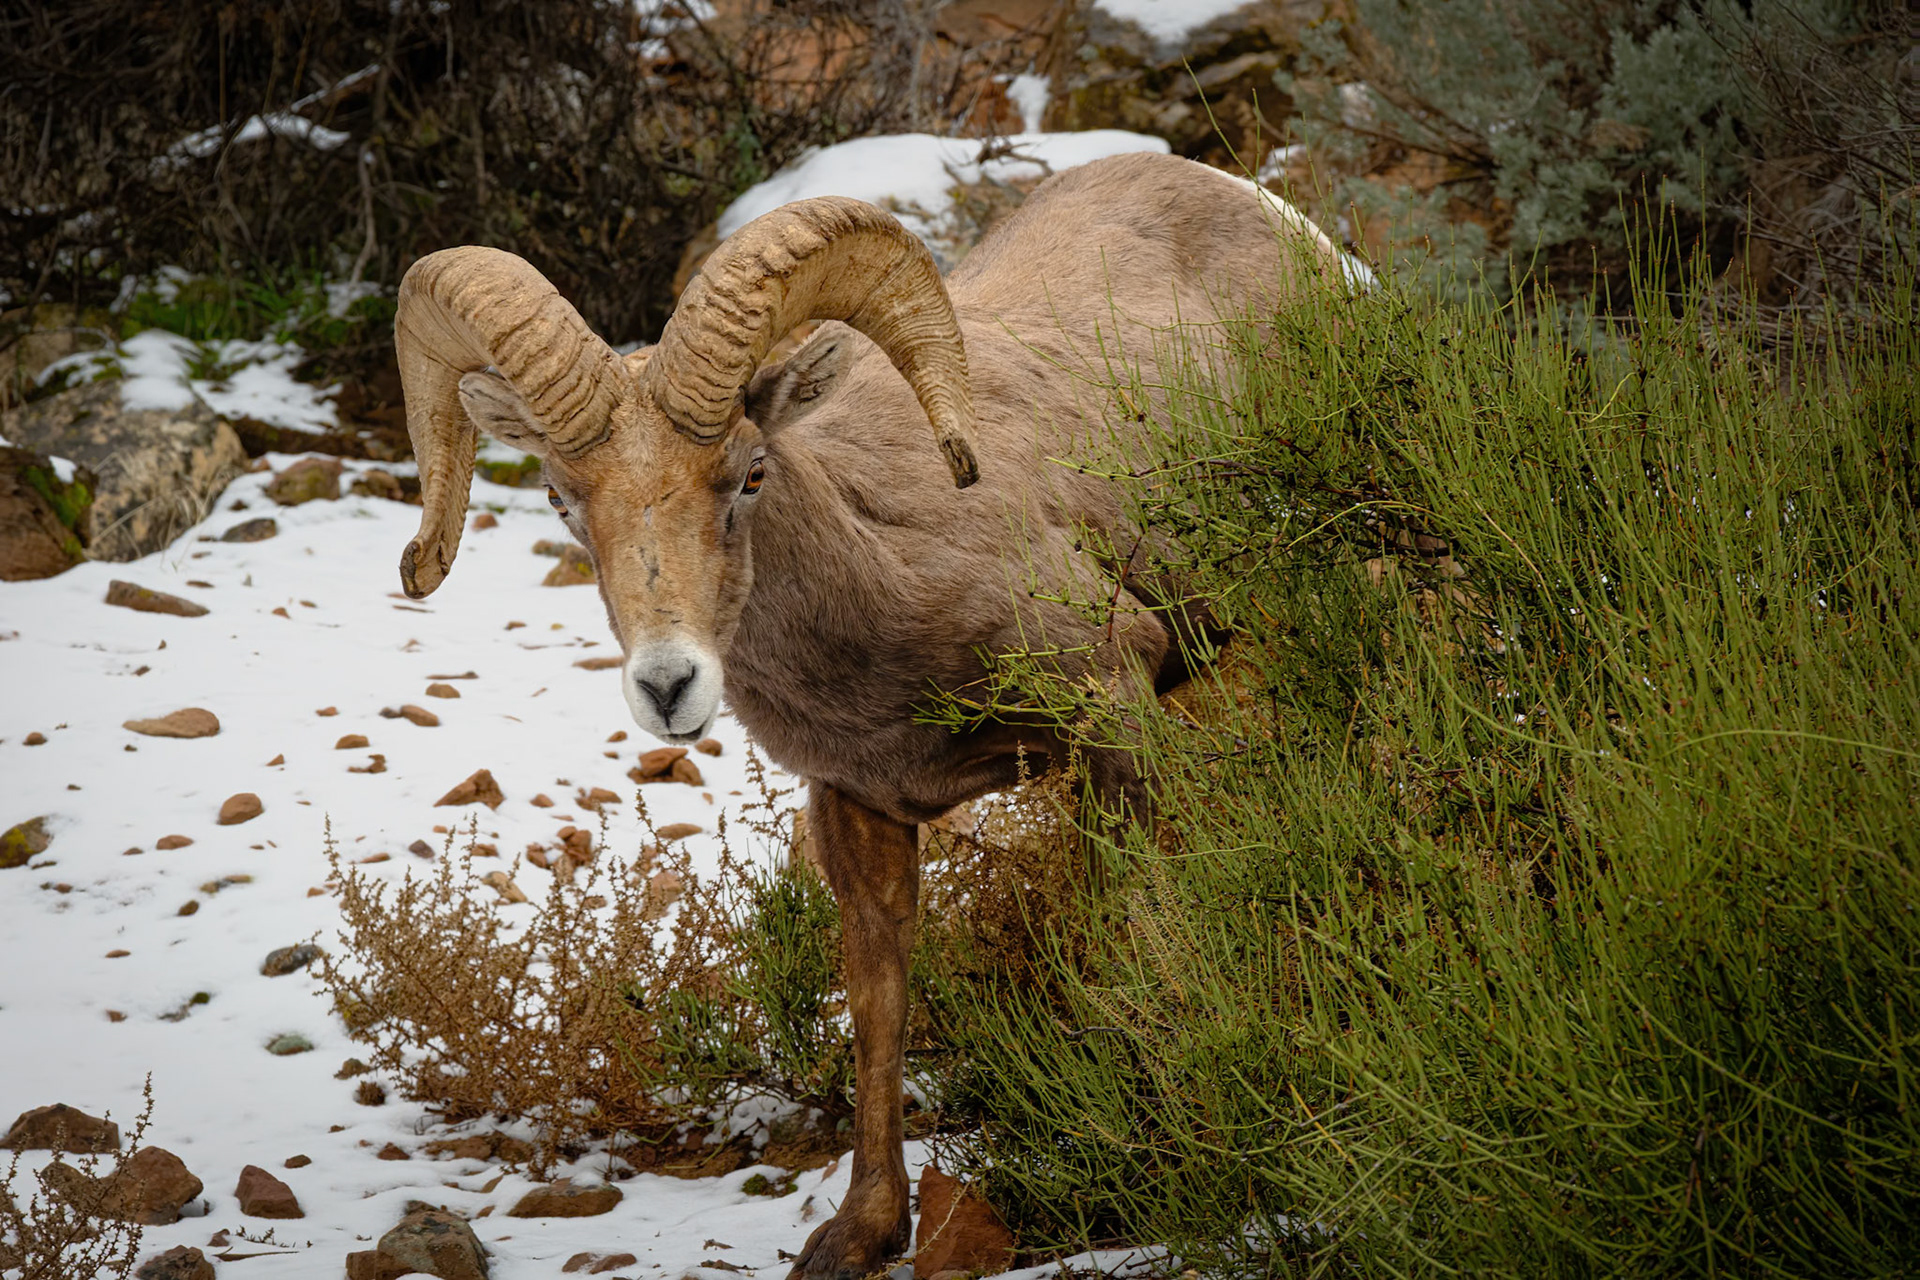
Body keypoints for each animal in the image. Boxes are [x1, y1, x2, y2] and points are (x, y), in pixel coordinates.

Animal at [388, 150, 1355, 1280]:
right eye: (562, 500)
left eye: (749, 472)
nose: (670, 684)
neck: (887, 586)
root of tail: (1269, 214)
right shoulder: (859, 807)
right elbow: (878, 1007)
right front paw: (862, 1232)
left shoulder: (1115, 712)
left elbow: (1128, 937)